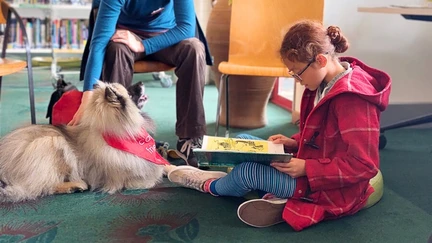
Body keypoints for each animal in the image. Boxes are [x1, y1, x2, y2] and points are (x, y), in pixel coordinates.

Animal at [0, 80, 169, 202]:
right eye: (129, 92)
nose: (141, 82)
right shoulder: (130, 176)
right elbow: (154, 175)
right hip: (52, 143)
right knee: (41, 186)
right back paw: (75, 185)